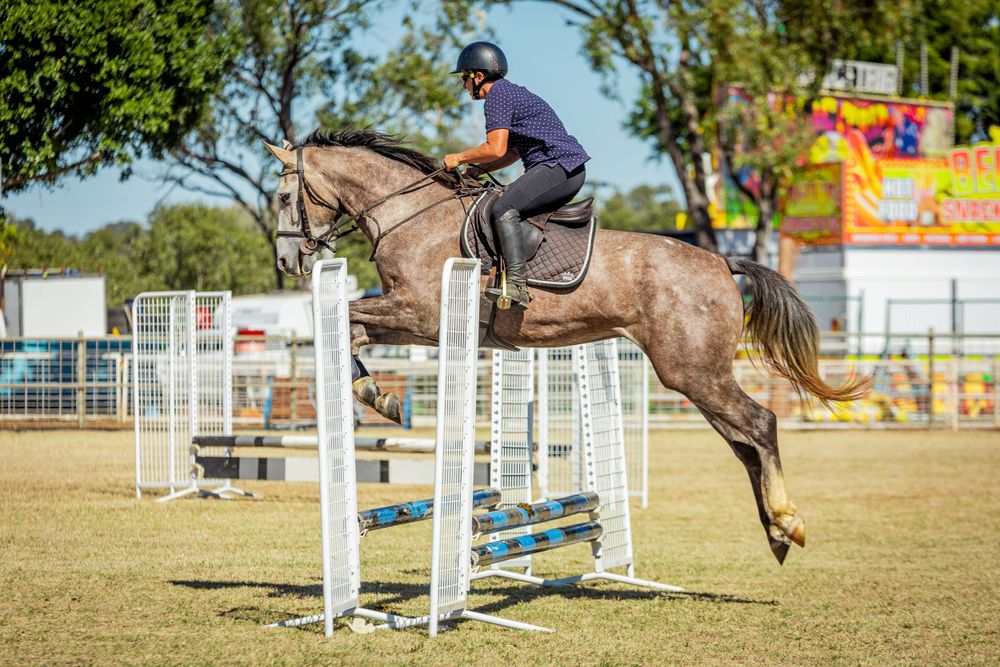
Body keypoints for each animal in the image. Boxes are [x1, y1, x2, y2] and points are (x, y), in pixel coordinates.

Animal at [263, 129, 867, 564]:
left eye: (283, 195)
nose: (287, 262)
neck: (411, 217)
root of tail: (722, 261)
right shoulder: (413, 322)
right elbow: (351, 327)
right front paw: (379, 395)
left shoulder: (419, 312)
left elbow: (348, 317)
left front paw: (377, 396)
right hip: (695, 376)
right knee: (745, 444)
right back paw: (775, 535)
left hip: (692, 372)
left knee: (760, 424)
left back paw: (788, 523)